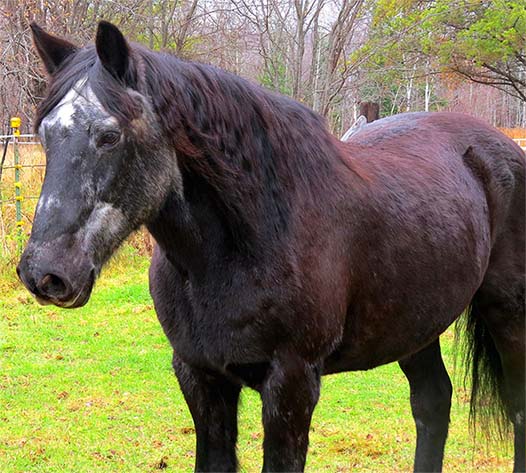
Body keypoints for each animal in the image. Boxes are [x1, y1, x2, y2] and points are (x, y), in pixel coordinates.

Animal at [17, 20, 526, 470]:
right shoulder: (200, 377)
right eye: (44, 134)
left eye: (109, 135)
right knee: (432, 403)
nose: (45, 273)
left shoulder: (291, 385)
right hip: (415, 324)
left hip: (507, 314)